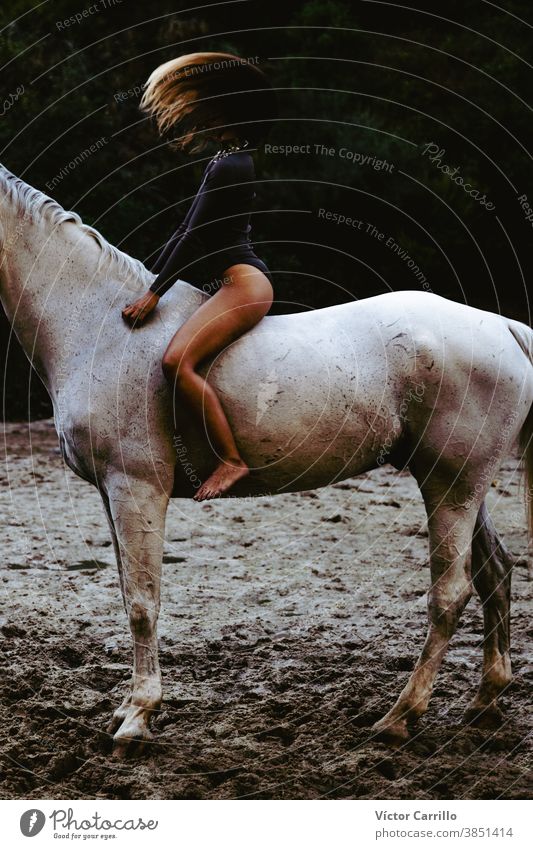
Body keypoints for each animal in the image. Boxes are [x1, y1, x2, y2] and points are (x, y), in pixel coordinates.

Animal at [0, 164, 528, 756]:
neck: (100, 326)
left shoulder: (134, 487)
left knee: (450, 594)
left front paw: (137, 718)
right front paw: (125, 709)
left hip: (450, 485)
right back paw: (483, 704)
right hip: (459, 484)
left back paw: (399, 717)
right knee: (495, 572)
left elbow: (141, 603)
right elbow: (127, 592)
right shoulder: (109, 494)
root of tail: (505, 328)